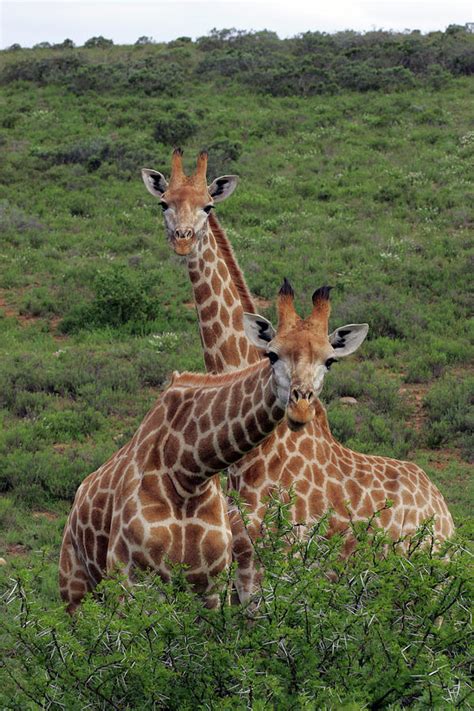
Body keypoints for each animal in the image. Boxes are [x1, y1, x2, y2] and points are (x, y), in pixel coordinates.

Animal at [59, 280, 344, 616]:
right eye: (272, 355)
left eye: (329, 360)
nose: (300, 409)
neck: (188, 472)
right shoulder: (128, 579)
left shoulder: (210, 586)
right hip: (74, 587)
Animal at [143, 153, 454, 604]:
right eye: (164, 203)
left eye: (208, 206)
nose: (183, 240)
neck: (255, 457)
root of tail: (445, 513)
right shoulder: (242, 564)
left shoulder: (284, 560)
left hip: (433, 581)